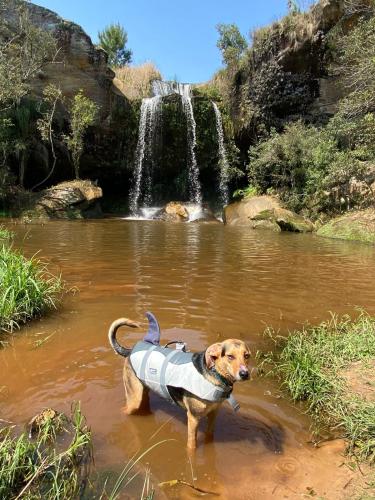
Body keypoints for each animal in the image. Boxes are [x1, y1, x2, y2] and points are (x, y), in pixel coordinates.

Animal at [107, 312, 251, 450]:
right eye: (230, 356)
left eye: (247, 356)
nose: (245, 374)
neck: (215, 375)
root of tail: (130, 351)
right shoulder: (193, 418)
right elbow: (191, 446)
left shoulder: (213, 414)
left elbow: (210, 436)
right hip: (134, 399)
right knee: (124, 410)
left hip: (144, 391)